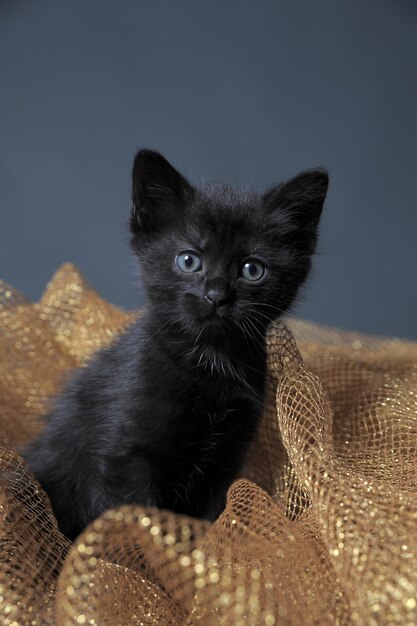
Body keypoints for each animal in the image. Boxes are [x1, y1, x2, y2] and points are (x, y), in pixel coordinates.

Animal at [22, 150, 328, 536]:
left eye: (252, 269)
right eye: (189, 260)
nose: (216, 295)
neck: (210, 362)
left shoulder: (225, 461)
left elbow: (215, 515)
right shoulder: (127, 458)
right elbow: (140, 522)